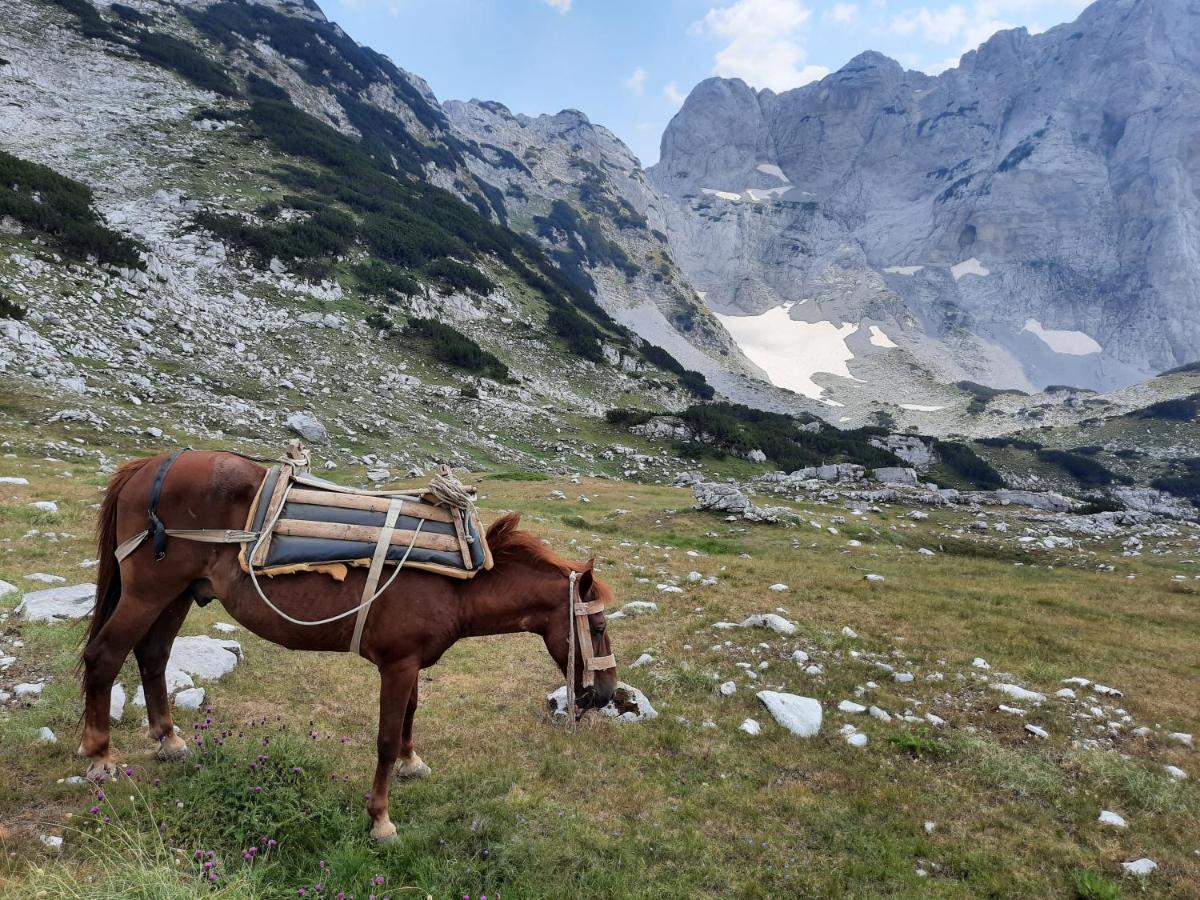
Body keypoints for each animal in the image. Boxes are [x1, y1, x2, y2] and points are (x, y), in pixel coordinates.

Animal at [79, 453, 619, 844]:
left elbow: (410, 716)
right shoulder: (397, 664)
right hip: (149, 593)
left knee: (153, 656)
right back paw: (100, 756)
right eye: (596, 628)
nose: (606, 694)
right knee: (104, 656)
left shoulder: (411, 662)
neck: (460, 580)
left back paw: (169, 739)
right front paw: (380, 819)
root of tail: (149, 466)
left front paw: (411, 763)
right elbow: (384, 738)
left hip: (178, 595)